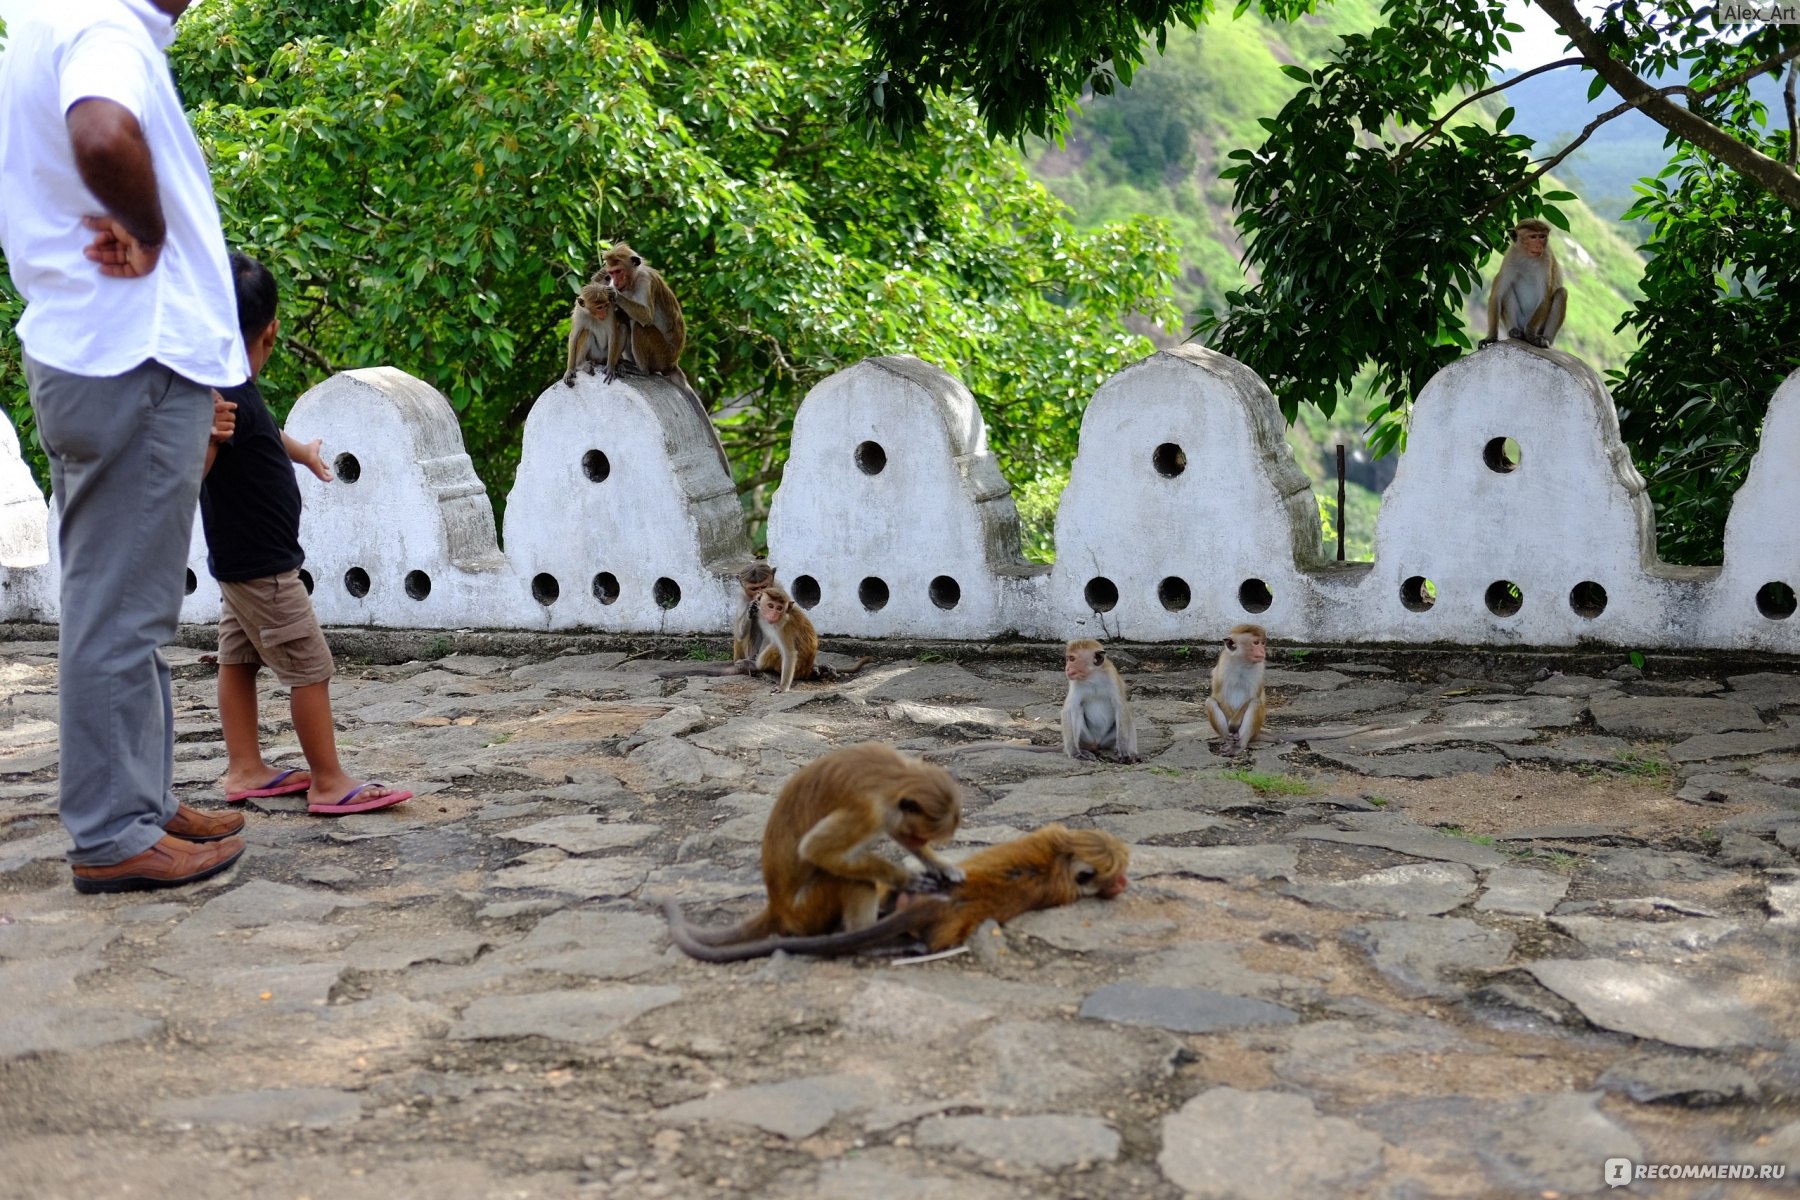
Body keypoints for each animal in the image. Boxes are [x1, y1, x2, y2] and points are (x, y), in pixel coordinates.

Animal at [669, 741, 964, 949]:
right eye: (920, 837)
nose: (917, 842)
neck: (893, 777)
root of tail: (778, 908)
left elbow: (894, 829)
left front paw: (940, 865)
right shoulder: (868, 811)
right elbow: (814, 848)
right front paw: (906, 878)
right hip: (808, 907)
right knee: (853, 879)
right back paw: (869, 935)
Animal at [1209, 626, 1267, 755]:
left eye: (1262, 643)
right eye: (1256, 643)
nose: (1263, 651)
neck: (1241, 662)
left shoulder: (1259, 667)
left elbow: (1252, 697)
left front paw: (1234, 723)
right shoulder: (1223, 663)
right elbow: (1219, 696)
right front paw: (1231, 726)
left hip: (1254, 731)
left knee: (1255, 703)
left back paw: (1239, 746)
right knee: (1210, 701)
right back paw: (1229, 741)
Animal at [1483, 218, 1569, 349]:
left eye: (1542, 236)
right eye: (1533, 237)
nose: (1539, 246)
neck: (1527, 255)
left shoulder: (1546, 259)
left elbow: (1545, 299)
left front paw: (1530, 334)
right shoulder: (1510, 256)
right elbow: (1496, 295)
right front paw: (1491, 337)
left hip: (1539, 326)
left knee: (1561, 293)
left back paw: (1544, 340)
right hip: (1520, 320)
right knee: (1507, 290)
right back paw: (1515, 331)